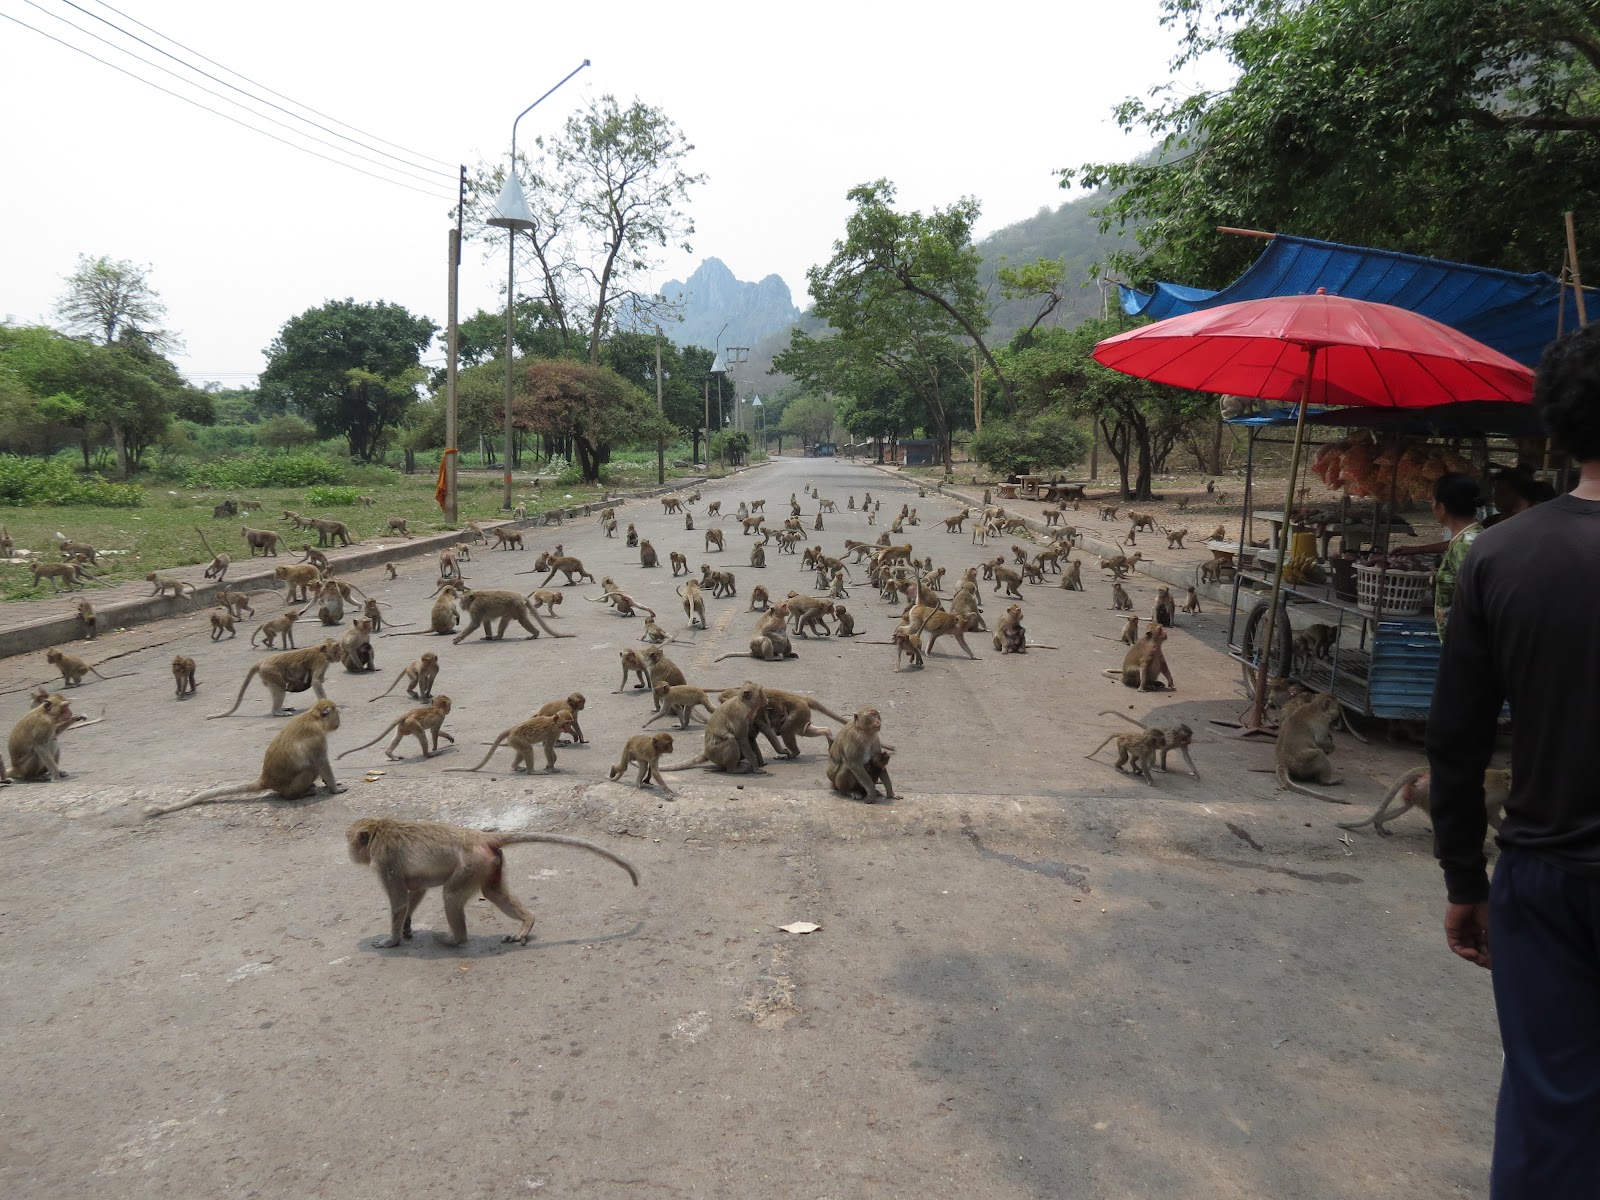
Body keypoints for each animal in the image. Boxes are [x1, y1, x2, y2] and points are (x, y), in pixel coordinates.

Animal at [149, 700, 345, 815]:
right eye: (336, 713)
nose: (339, 722)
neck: (314, 718)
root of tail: (265, 779)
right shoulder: (317, 739)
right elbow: (321, 762)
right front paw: (335, 789)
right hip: (289, 786)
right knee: (309, 768)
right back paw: (298, 794)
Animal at [208, 640, 340, 718]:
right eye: (336, 647)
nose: (341, 652)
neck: (321, 651)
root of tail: (262, 662)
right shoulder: (321, 661)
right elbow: (316, 682)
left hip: (267, 676)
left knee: (276, 690)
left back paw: (280, 708)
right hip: (271, 672)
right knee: (280, 689)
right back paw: (277, 711)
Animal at [344, 817, 639, 948]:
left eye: (349, 840)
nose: (348, 852)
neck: (378, 829)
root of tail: (480, 837)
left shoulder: (384, 861)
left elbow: (399, 901)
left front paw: (390, 941)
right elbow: (414, 891)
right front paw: (405, 927)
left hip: (472, 865)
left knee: (451, 896)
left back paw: (456, 940)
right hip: (489, 864)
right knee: (493, 892)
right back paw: (527, 922)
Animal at [1337, 765, 1511, 836]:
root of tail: (1426, 770)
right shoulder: (1495, 797)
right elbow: (1486, 816)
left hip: (1417, 791)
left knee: (1405, 806)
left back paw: (1379, 824)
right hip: (1429, 793)